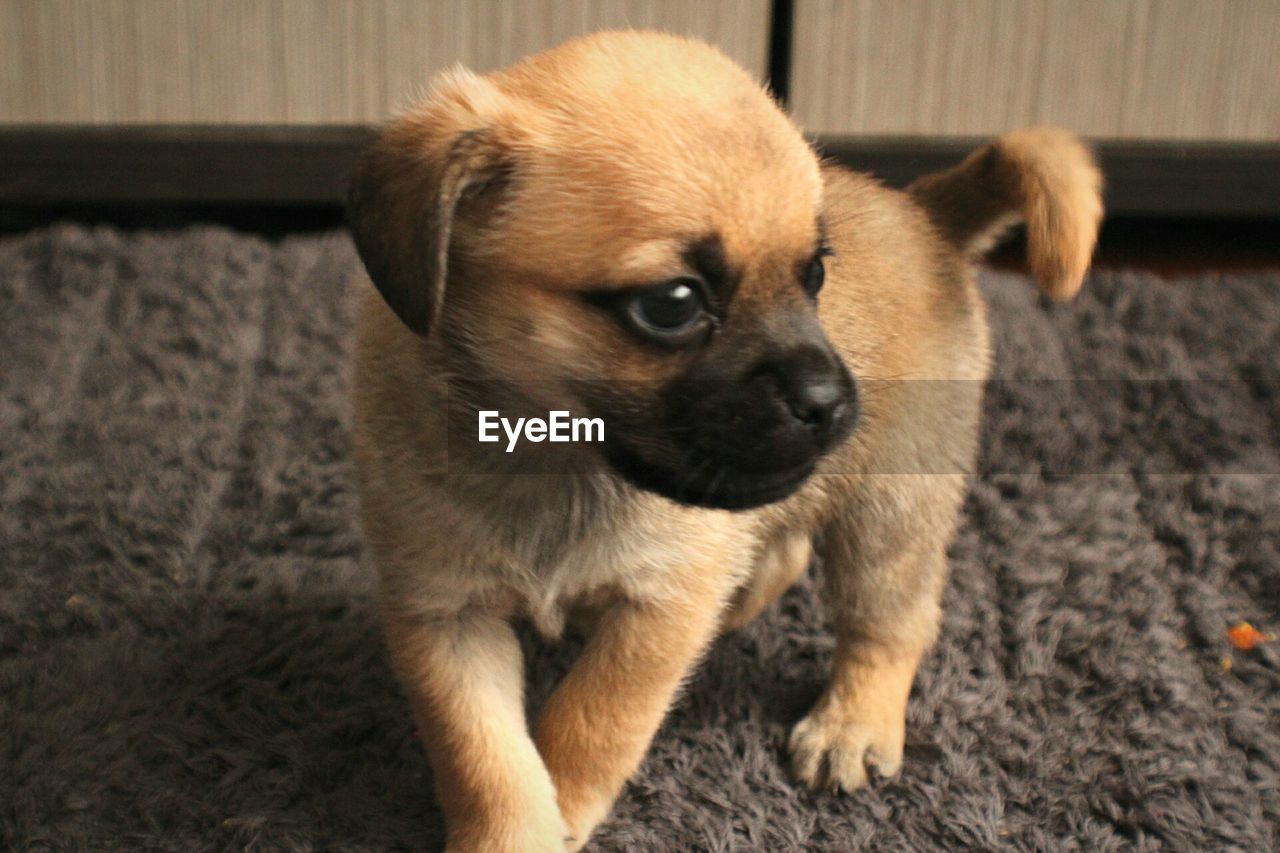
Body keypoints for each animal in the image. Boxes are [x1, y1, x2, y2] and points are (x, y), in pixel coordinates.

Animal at [345, 29, 1105, 845]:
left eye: (815, 276)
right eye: (672, 304)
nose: (830, 402)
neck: (554, 459)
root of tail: (924, 212)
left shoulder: (657, 609)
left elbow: (592, 719)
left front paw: (568, 808)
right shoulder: (445, 616)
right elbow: (485, 760)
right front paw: (514, 835)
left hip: (888, 515)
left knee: (892, 623)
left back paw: (852, 723)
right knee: (784, 550)